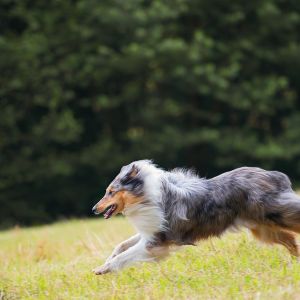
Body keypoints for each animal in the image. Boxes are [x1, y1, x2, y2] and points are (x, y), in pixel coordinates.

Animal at [91, 159, 300, 274]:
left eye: (110, 192)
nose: (94, 209)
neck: (145, 195)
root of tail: (274, 175)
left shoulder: (155, 242)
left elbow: (125, 255)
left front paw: (103, 269)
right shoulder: (149, 233)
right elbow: (121, 246)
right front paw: (105, 261)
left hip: (278, 214)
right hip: (263, 229)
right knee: (290, 241)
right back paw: (295, 263)